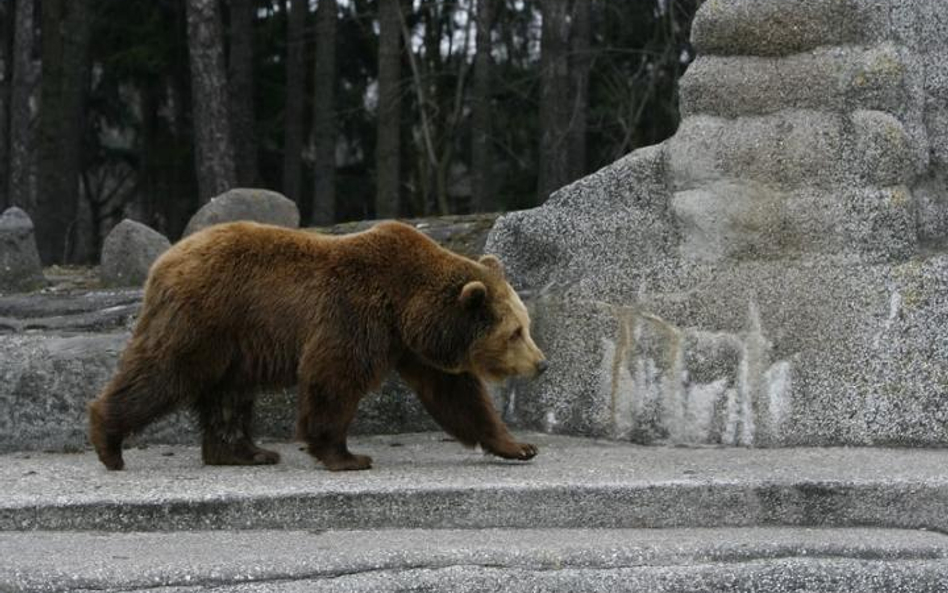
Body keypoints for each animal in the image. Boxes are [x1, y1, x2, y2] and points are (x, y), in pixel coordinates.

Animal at [90, 220, 548, 470]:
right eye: (515, 332)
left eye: (525, 325)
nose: (542, 363)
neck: (405, 306)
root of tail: (163, 263)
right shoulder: (355, 315)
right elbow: (334, 378)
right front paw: (347, 456)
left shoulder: (413, 347)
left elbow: (458, 396)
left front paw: (518, 446)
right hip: (204, 319)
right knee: (162, 373)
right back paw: (108, 442)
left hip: (235, 344)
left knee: (228, 396)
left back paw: (247, 452)